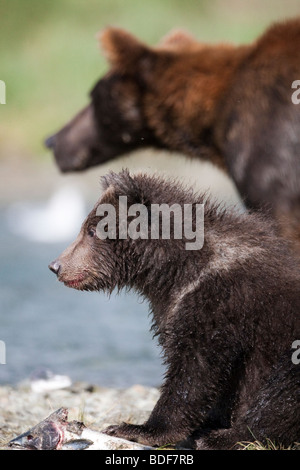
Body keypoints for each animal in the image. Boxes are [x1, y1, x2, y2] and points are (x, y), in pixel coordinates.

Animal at [48, 171, 298, 450]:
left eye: (91, 230)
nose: (56, 265)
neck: (176, 270)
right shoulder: (172, 305)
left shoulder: (219, 302)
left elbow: (194, 369)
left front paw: (139, 428)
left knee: (282, 392)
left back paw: (222, 437)